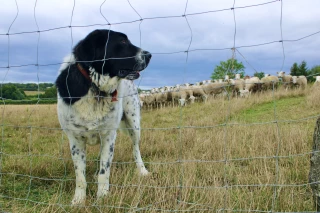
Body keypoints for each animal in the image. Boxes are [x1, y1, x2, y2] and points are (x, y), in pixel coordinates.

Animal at [55, 29, 152, 205]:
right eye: (122, 42)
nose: (149, 55)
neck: (94, 87)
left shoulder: (109, 136)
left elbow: (104, 171)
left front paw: (103, 197)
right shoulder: (75, 140)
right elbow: (80, 175)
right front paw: (79, 200)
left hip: (134, 123)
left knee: (135, 148)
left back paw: (142, 171)